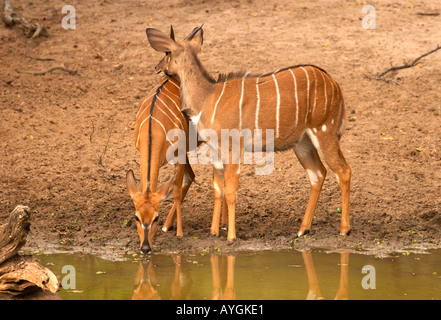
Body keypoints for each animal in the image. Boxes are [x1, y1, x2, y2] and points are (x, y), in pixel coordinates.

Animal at [147, 26, 350, 241]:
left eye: (167, 53)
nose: (157, 67)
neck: (207, 97)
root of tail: (335, 85)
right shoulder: (216, 151)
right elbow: (217, 188)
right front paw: (213, 232)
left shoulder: (233, 148)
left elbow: (230, 190)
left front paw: (231, 236)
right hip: (303, 142)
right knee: (318, 174)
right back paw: (303, 229)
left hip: (325, 132)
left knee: (343, 171)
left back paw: (344, 230)